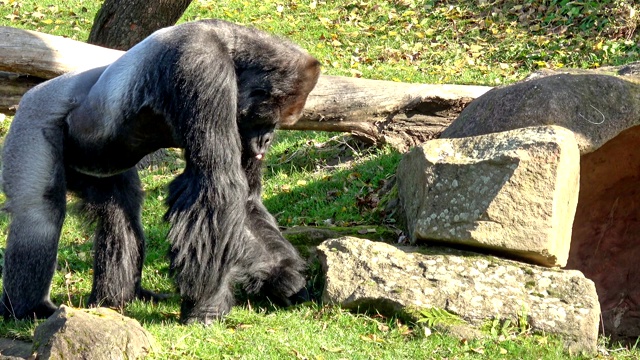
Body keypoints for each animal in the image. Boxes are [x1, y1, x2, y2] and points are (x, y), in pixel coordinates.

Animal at [0, 19, 320, 324]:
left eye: (275, 125)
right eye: (267, 121)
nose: (265, 142)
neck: (233, 48)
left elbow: (245, 200)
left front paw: (282, 275)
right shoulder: (201, 64)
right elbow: (217, 186)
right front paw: (206, 305)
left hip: (94, 162)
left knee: (120, 211)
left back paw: (115, 300)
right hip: (34, 115)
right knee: (40, 213)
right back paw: (30, 309)